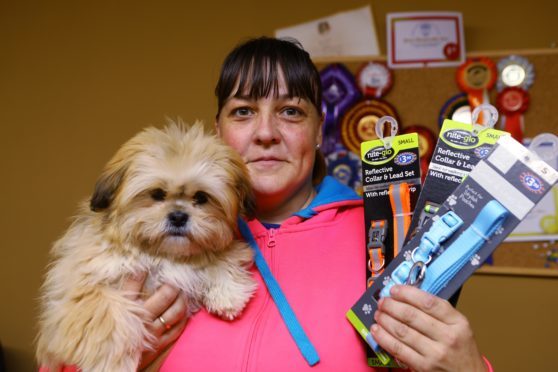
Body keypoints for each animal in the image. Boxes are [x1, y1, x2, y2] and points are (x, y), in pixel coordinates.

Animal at [36, 121, 260, 370]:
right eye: (157, 194)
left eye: (201, 197)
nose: (178, 216)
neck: (161, 255)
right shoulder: (81, 290)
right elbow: (107, 319)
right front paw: (112, 363)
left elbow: (222, 255)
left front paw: (228, 292)